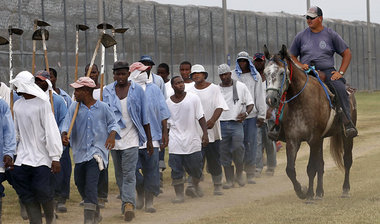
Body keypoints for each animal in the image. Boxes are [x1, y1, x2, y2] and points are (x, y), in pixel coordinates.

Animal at [264, 44, 356, 201]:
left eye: (282, 73)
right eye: (265, 73)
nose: (271, 99)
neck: (300, 101)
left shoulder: (313, 139)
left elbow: (311, 168)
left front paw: (309, 195)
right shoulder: (293, 140)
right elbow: (291, 169)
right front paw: (302, 191)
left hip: (345, 136)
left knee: (347, 160)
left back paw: (345, 190)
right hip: (321, 140)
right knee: (321, 164)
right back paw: (319, 192)